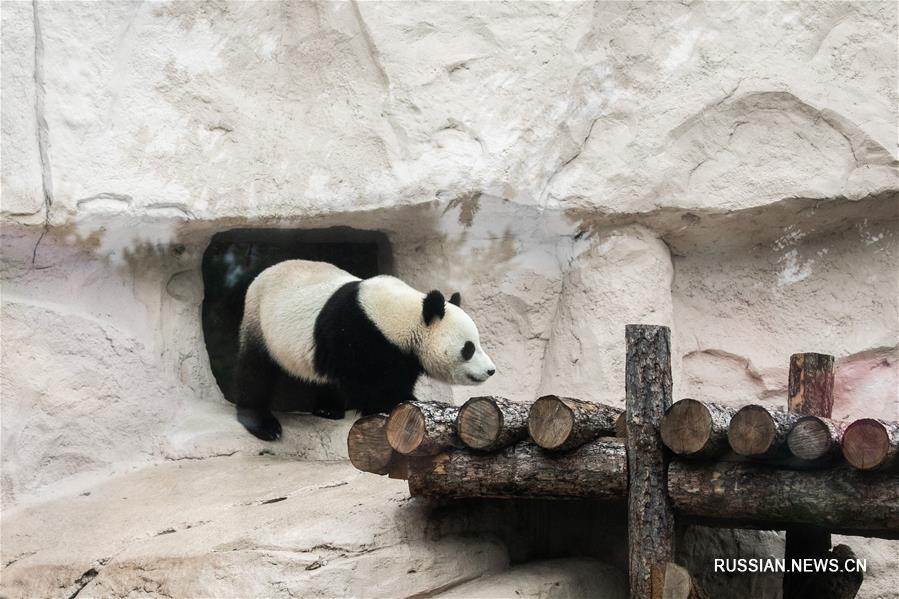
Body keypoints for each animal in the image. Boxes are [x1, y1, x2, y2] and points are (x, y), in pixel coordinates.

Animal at [236, 258, 496, 440]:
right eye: (469, 348)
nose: (491, 371)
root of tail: (262, 275)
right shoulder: (361, 335)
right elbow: (372, 386)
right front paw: (403, 401)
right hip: (262, 323)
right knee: (255, 370)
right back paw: (264, 425)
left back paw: (328, 409)